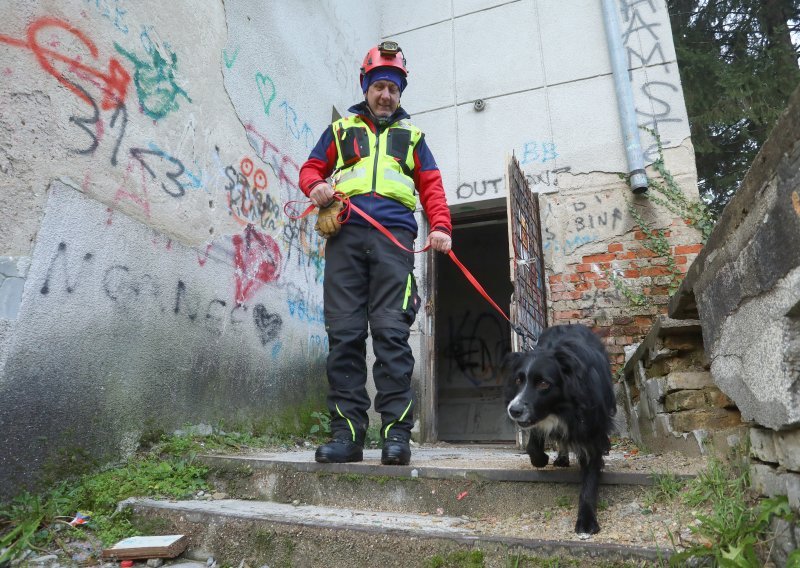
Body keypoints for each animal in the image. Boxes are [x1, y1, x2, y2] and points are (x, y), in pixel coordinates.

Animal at [504, 324, 616, 536]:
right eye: (518, 381)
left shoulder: (593, 424)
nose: (513, 410)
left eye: (543, 383)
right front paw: (542, 459)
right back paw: (561, 458)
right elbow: (534, 444)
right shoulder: (540, 417)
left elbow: (590, 474)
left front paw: (586, 523)